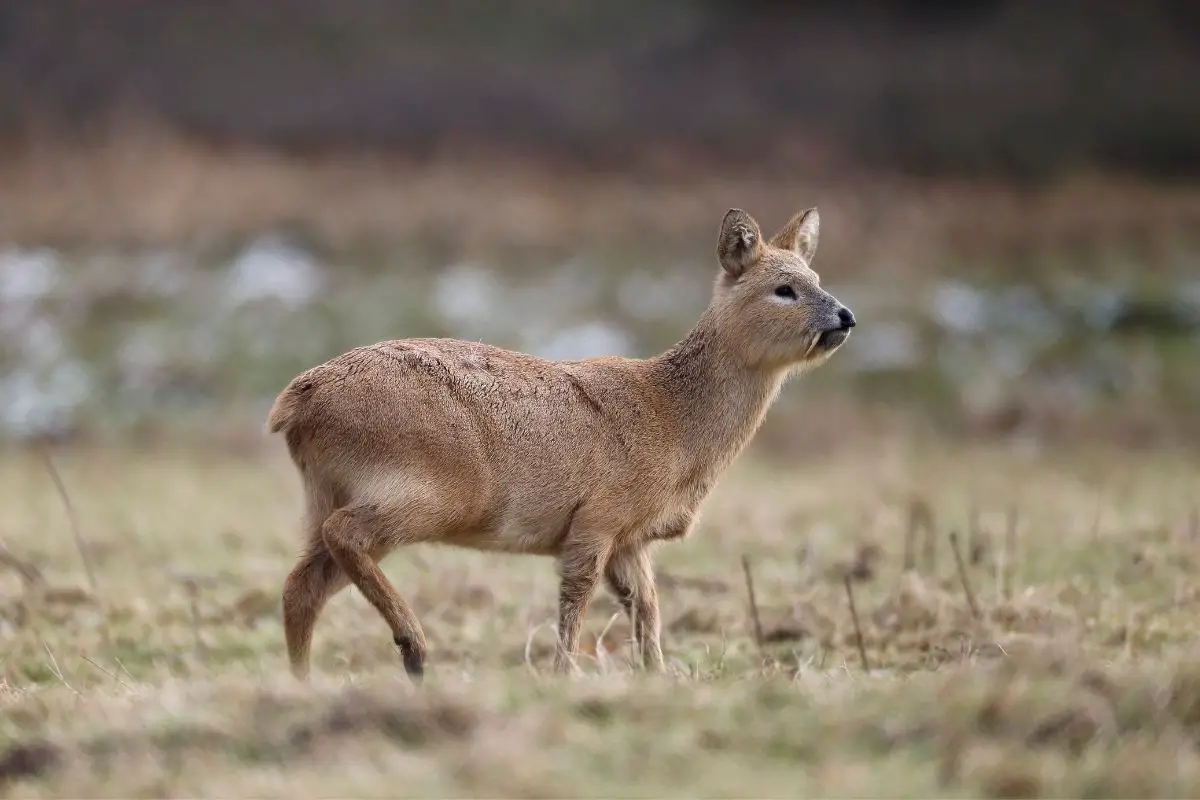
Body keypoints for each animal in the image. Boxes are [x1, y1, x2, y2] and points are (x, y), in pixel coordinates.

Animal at [268, 206, 859, 681]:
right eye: (784, 289)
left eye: (816, 276)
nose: (846, 315)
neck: (674, 420)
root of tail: (298, 398)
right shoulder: (598, 517)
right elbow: (578, 596)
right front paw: (564, 673)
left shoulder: (630, 538)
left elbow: (646, 607)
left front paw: (657, 675)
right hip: (432, 489)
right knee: (342, 537)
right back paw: (413, 647)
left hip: (334, 492)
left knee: (302, 583)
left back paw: (304, 681)